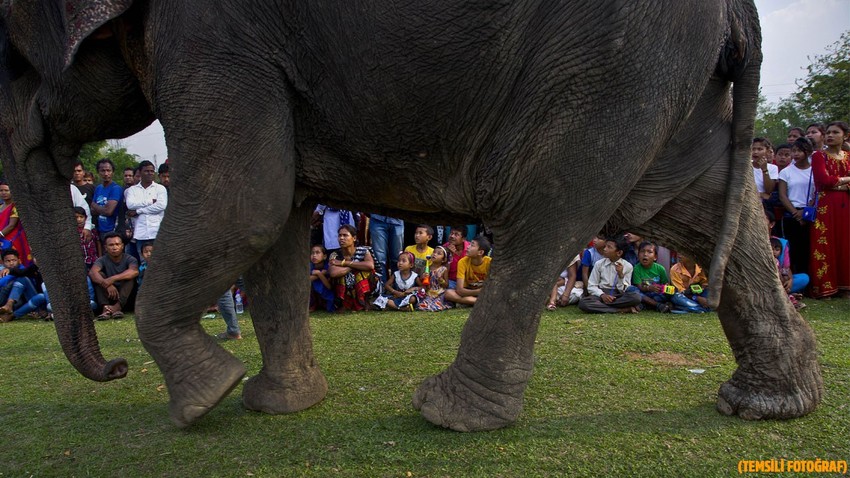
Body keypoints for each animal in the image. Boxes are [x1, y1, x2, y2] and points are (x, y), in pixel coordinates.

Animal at [1, 0, 820, 432]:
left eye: (13, 63)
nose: (113, 370)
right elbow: (275, 223)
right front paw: (276, 406)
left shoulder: (210, 38)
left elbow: (244, 203)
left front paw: (205, 401)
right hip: (662, 80)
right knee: (701, 208)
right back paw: (768, 405)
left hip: (610, 67)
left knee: (547, 212)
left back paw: (448, 413)